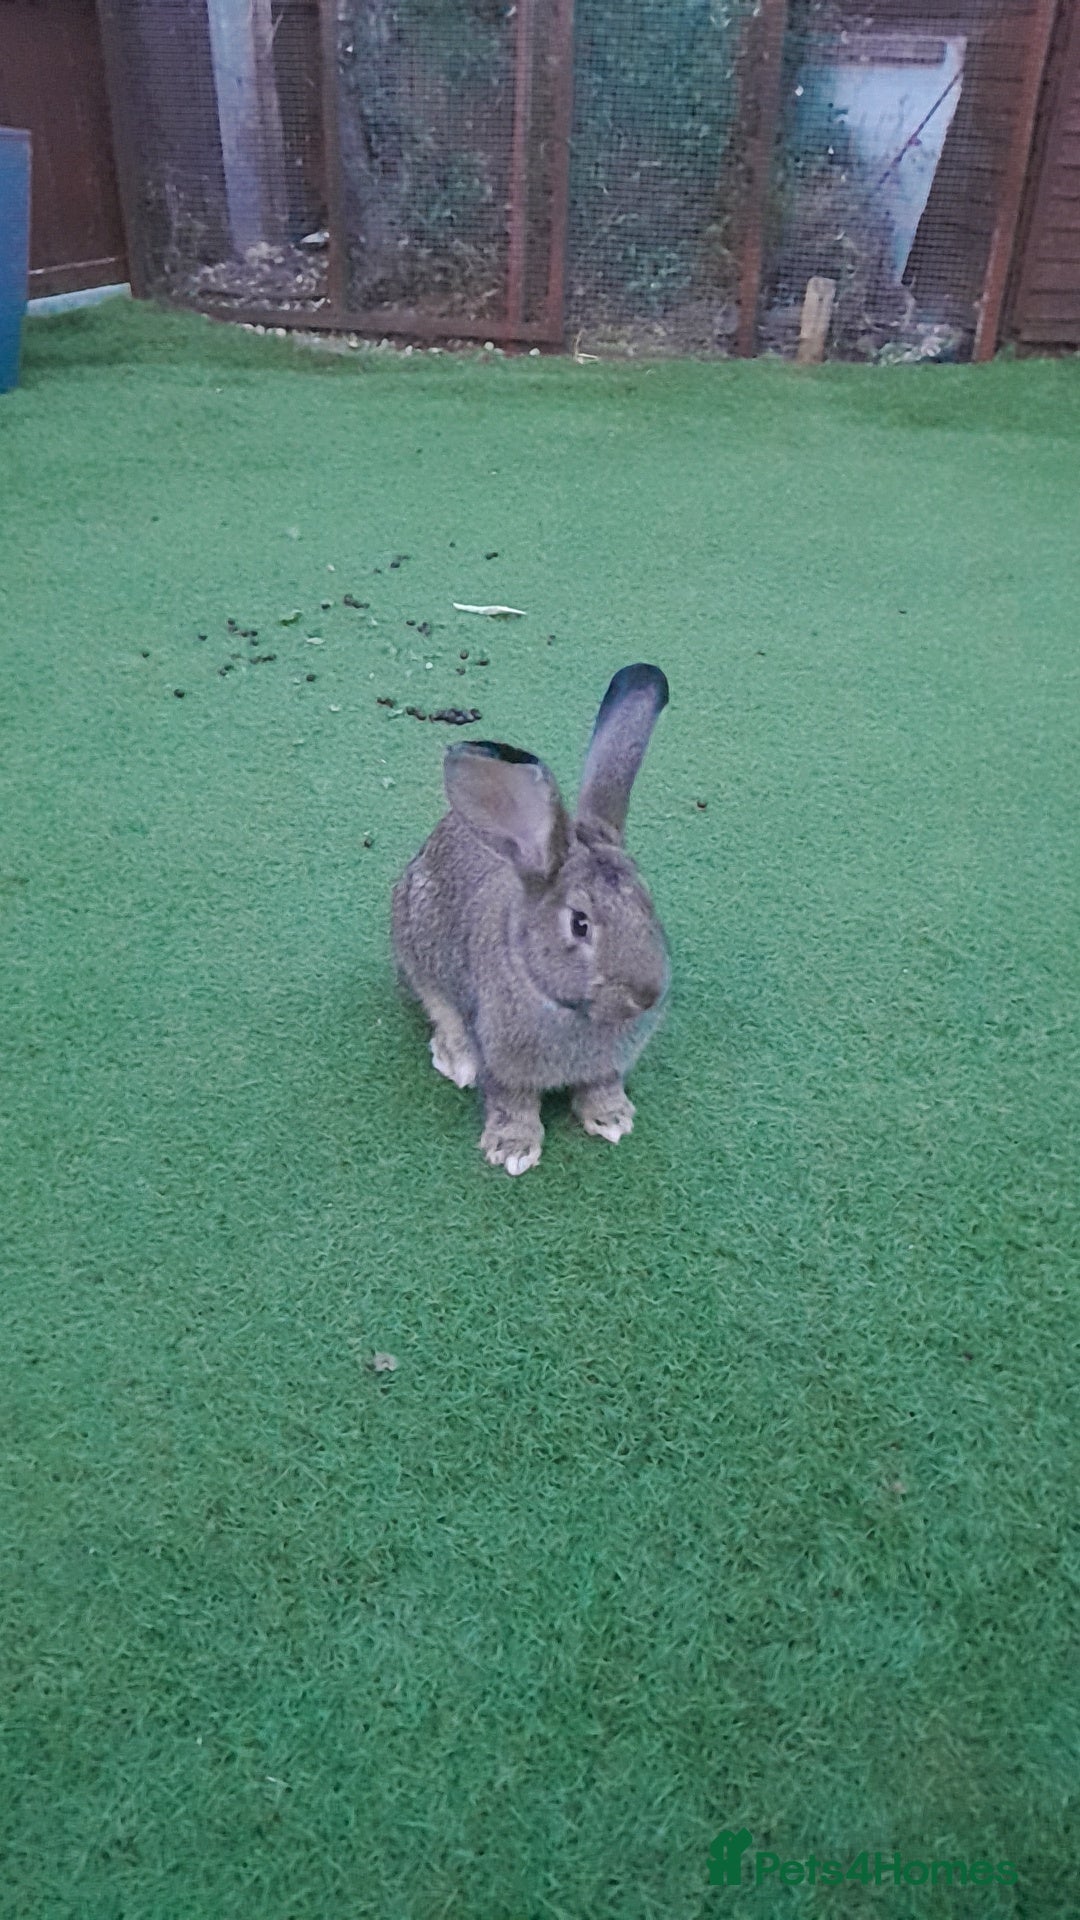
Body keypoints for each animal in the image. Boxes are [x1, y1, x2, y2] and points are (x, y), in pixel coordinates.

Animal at [391, 662, 670, 1174]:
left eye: (648, 902)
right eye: (580, 923)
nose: (647, 995)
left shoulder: (606, 1068)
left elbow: (600, 1086)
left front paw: (613, 1119)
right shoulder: (504, 1065)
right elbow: (511, 1101)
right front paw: (512, 1149)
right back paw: (456, 1059)